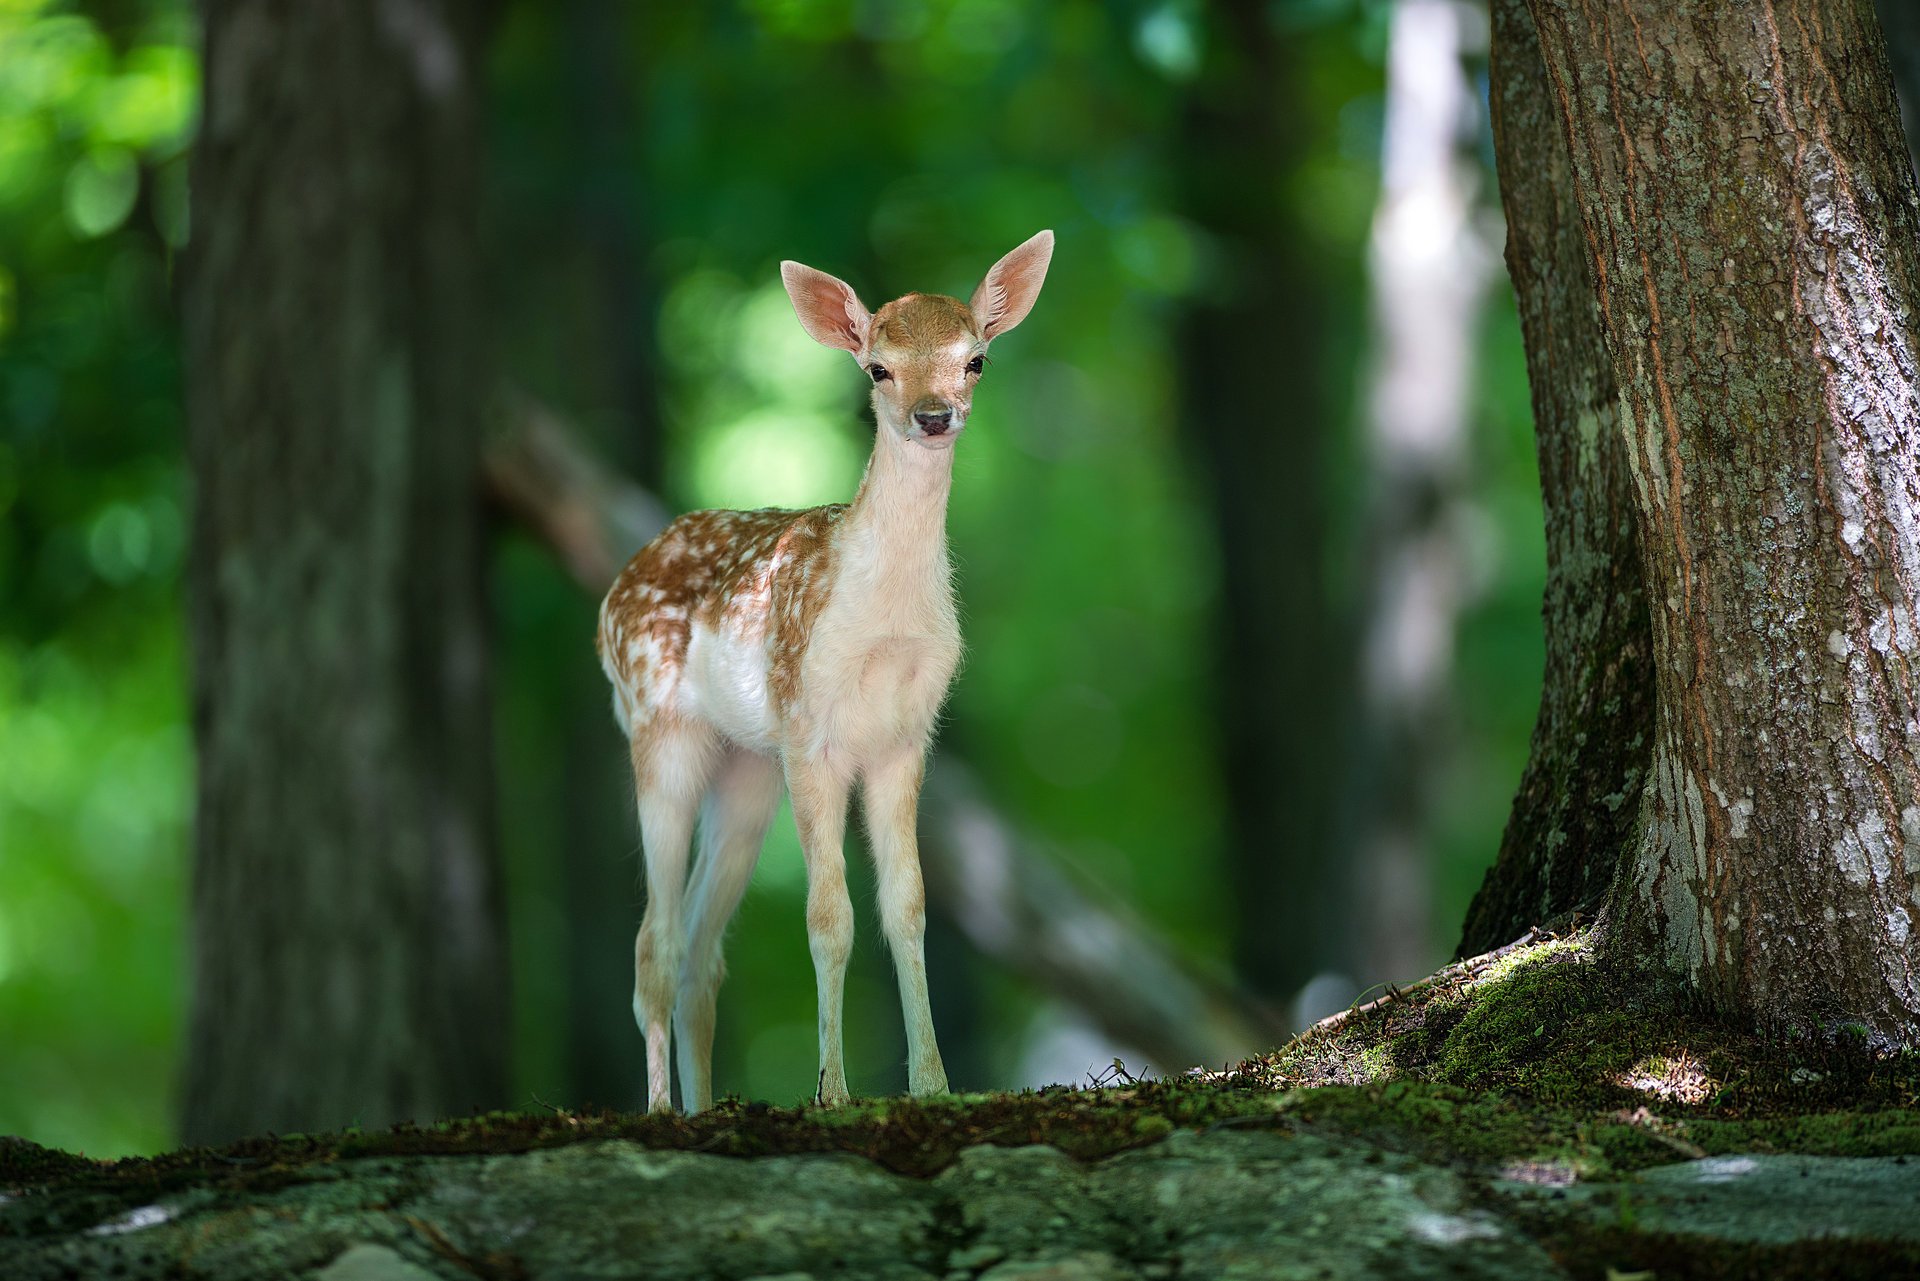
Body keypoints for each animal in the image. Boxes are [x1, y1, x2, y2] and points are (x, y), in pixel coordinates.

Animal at [596, 231, 1054, 1112]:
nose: (933, 414)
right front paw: (834, 1091)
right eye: (877, 367)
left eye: (975, 359)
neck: (882, 620)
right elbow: (828, 915)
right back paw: (663, 1108)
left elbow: (906, 908)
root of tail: (612, 592)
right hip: (660, 728)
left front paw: (934, 1084)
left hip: (747, 767)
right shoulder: (811, 730)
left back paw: (703, 1104)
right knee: (651, 942)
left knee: (701, 950)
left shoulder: (906, 737)